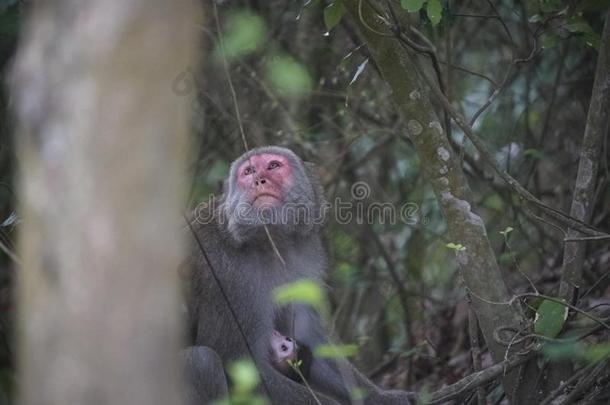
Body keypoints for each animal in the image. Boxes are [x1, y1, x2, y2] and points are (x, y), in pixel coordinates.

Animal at [180, 146, 408, 404]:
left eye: (273, 166)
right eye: (248, 172)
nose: (259, 180)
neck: (269, 242)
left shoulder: (305, 260)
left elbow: (310, 342)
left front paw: (383, 397)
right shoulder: (226, 276)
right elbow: (239, 366)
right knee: (201, 362)